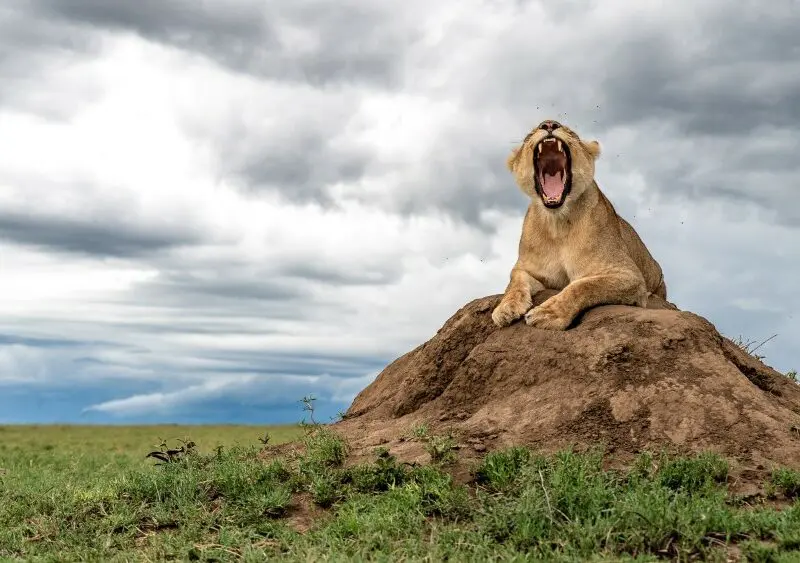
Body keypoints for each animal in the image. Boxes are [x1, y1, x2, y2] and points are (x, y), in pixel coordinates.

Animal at [491, 119, 667, 331]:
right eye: (529, 135)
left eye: (571, 132)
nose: (549, 123)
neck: (557, 222)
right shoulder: (528, 268)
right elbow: (515, 281)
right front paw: (505, 309)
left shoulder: (628, 275)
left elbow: (583, 286)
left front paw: (548, 313)